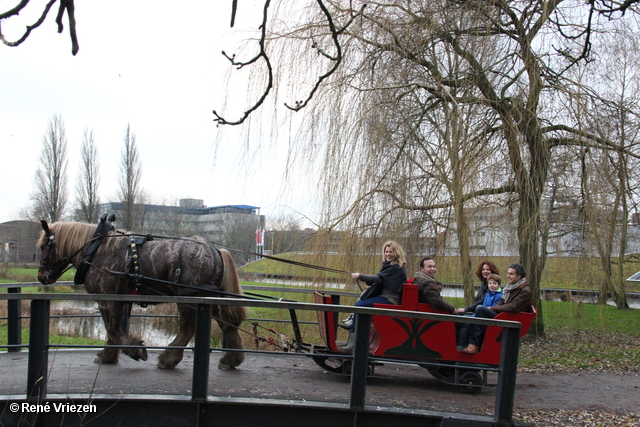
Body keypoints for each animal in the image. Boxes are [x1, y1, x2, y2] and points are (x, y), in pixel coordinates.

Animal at [37, 219, 248, 370]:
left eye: (44, 246)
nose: (40, 276)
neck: (97, 250)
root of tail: (215, 250)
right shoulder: (119, 299)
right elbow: (114, 328)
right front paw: (109, 355)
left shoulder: (106, 298)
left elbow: (113, 329)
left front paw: (135, 350)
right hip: (211, 296)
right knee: (227, 324)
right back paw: (231, 359)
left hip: (190, 297)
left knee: (188, 328)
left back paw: (168, 358)